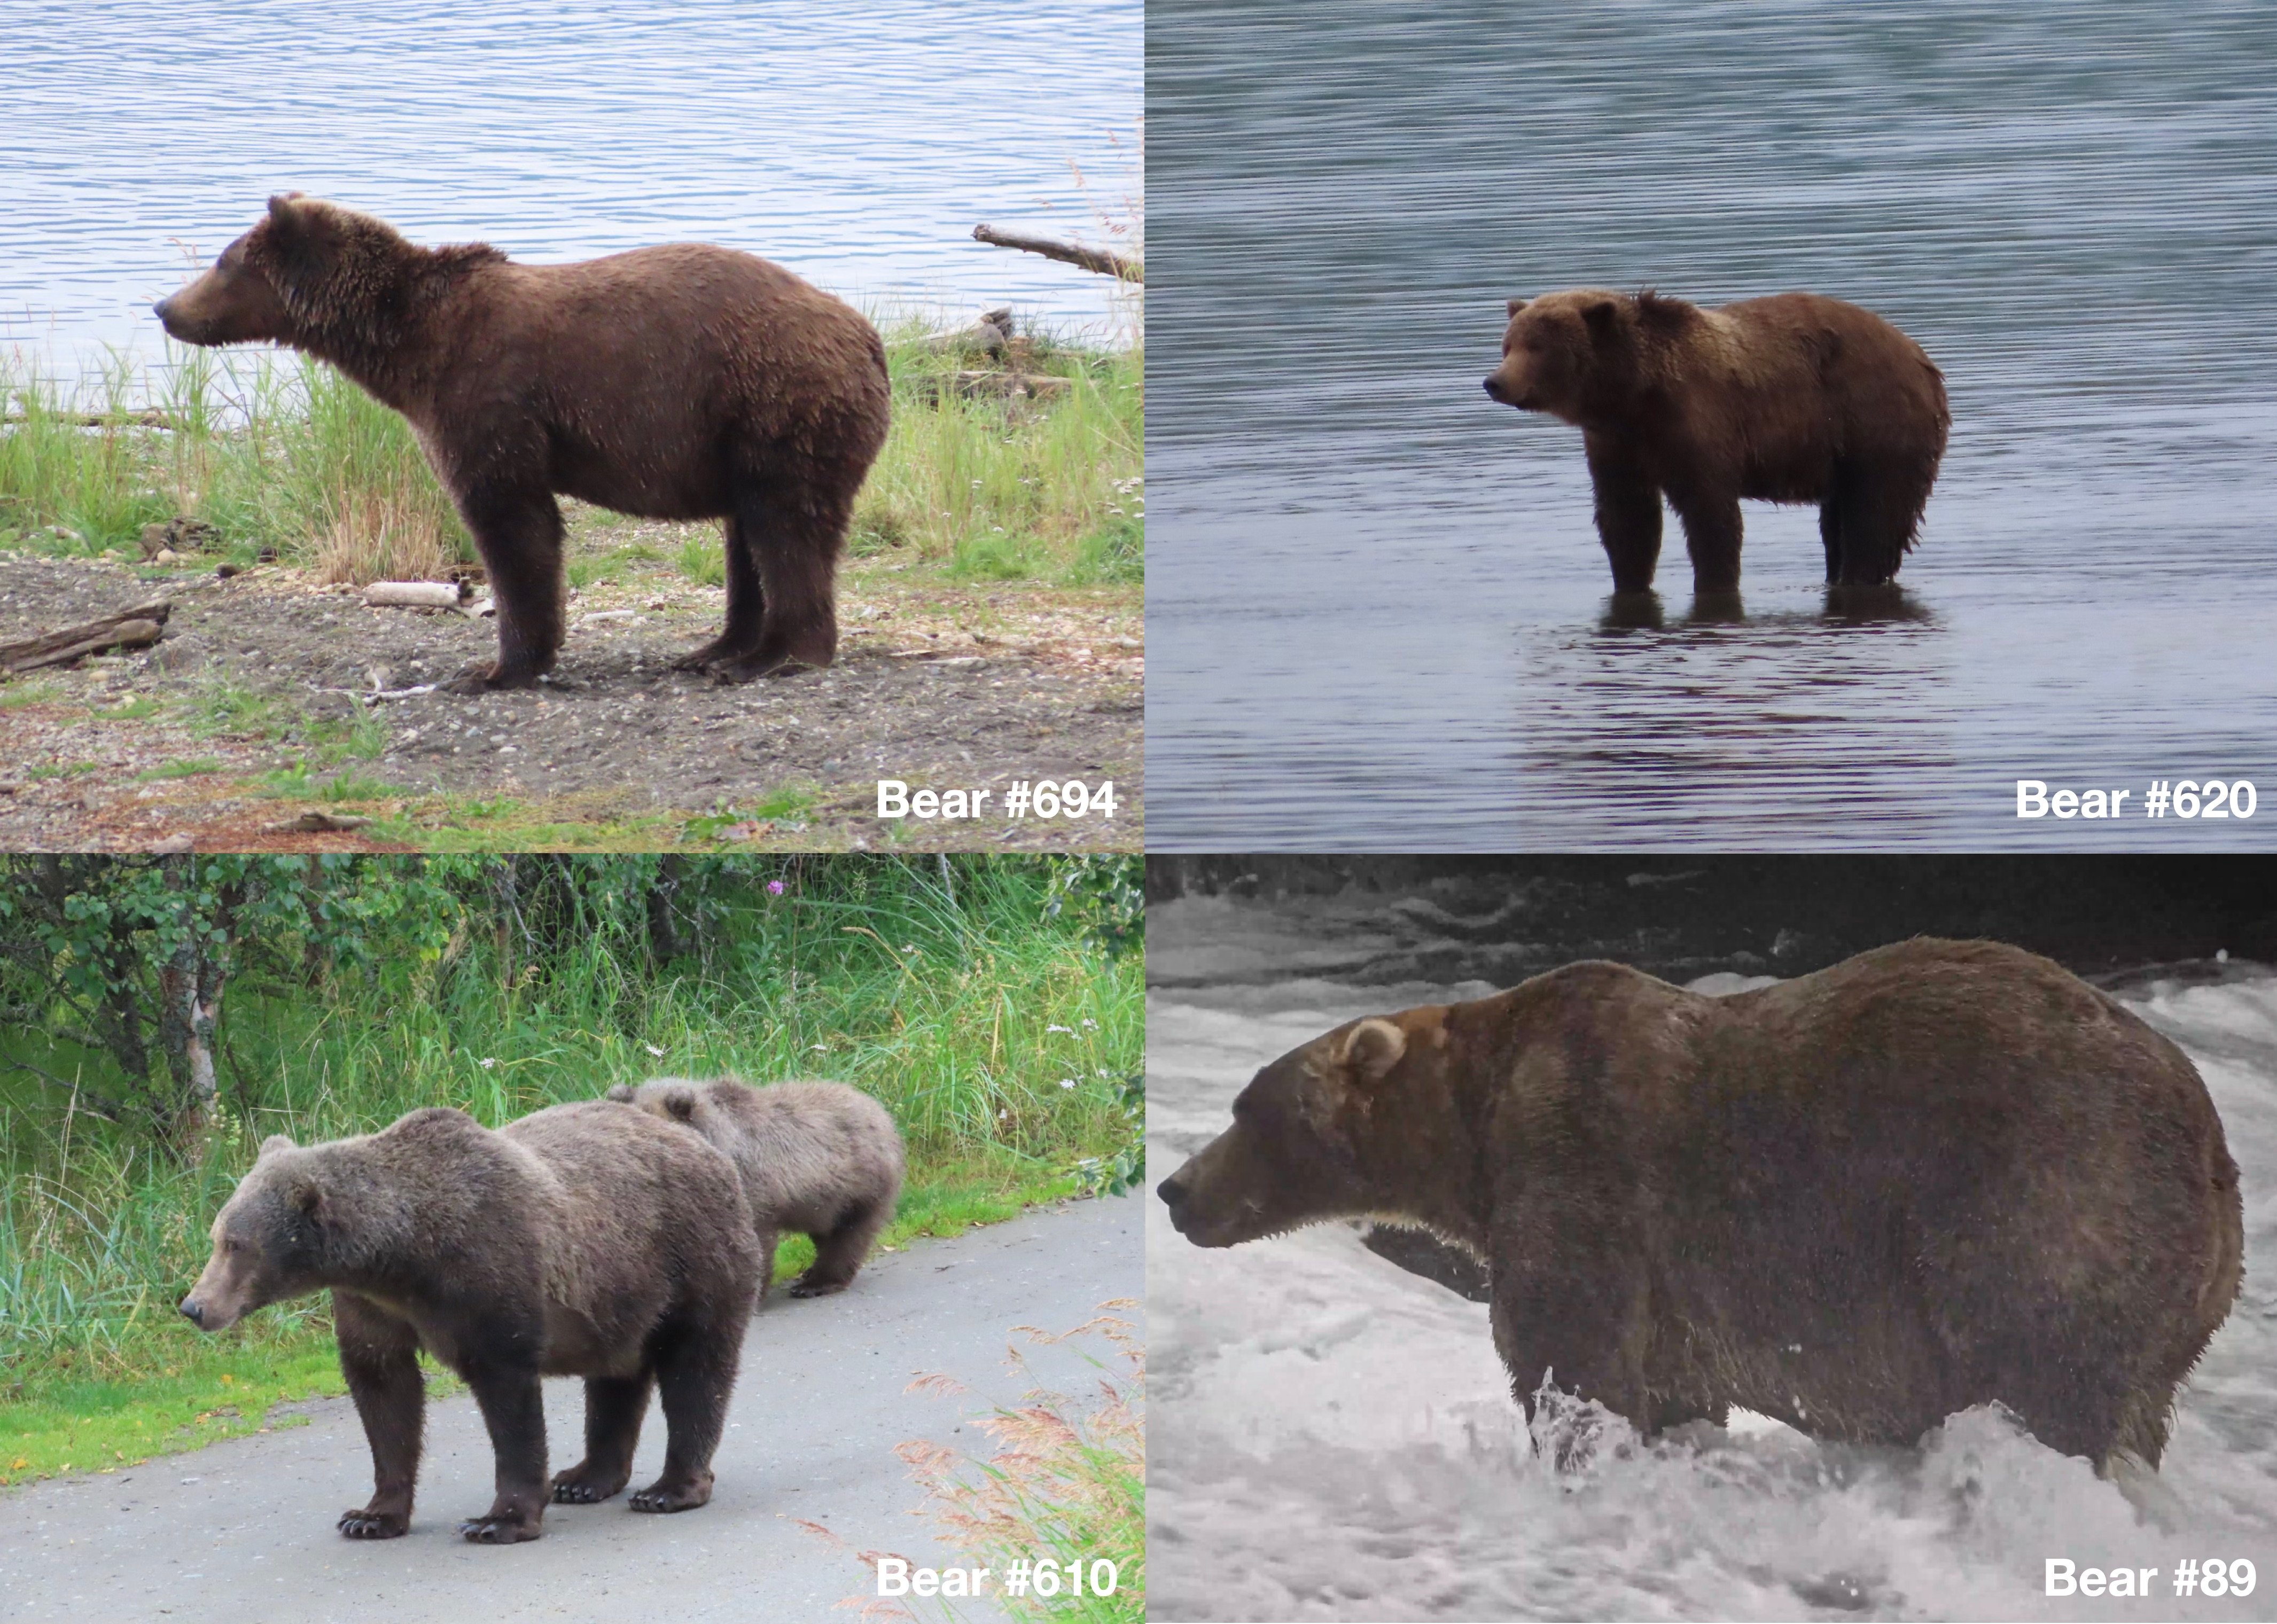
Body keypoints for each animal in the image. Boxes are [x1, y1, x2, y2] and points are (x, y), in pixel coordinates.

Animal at [153, 195, 890, 691]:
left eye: (222, 262)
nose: (164, 307)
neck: (409, 347)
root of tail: (868, 337)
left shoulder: (487, 398)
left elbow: (511, 522)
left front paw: (497, 665)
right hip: (737, 433)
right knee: (748, 533)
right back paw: (716, 649)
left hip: (777, 403)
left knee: (785, 525)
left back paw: (775, 656)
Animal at [179, 1101, 760, 1542]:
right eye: (217, 1235)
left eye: (236, 1244)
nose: (194, 1306)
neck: (399, 1258)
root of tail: (706, 1149)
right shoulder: (372, 1308)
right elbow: (384, 1394)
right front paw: (370, 1516)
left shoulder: (487, 1280)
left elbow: (508, 1401)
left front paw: (499, 1520)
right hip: (617, 1293)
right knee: (616, 1376)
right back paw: (585, 1478)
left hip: (692, 1258)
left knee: (697, 1368)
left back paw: (669, 1488)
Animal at [1158, 938, 2242, 1491]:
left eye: (1245, 1109)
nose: (1175, 1191)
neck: (1472, 1126)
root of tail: (2212, 1145)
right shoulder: (1671, 1290)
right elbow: (1669, 1387)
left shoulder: (1580, 1166)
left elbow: (1570, 1357)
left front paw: (1572, 1457)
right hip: (2174, 1300)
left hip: (2044, 1201)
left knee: (2041, 1375)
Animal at [1482, 289, 1949, 593]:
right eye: (1508, 345)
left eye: (1537, 347)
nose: (1495, 382)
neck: (1634, 393)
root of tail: (1921, 356)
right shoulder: (1615, 443)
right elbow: (1627, 519)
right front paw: (1630, 580)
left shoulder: (1698, 422)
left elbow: (1710, 514)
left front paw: (1713, 582)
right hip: (1842, 452)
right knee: (1839, 521)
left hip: (1875, 422)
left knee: (1876, 514)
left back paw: (1858, 577)